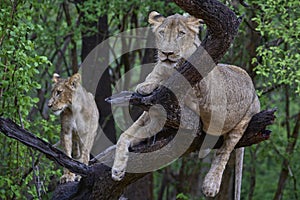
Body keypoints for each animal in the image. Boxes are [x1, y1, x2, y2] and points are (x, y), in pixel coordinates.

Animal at [112, 10, 260, 197]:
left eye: (181, 34)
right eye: (162, 32)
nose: (167, 53)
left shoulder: (195, 96)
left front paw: (148, 84)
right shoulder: (151, 111)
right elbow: (126, 135)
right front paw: (117, 170)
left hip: (243, 120)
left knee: (225, 150)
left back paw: (211, 184)